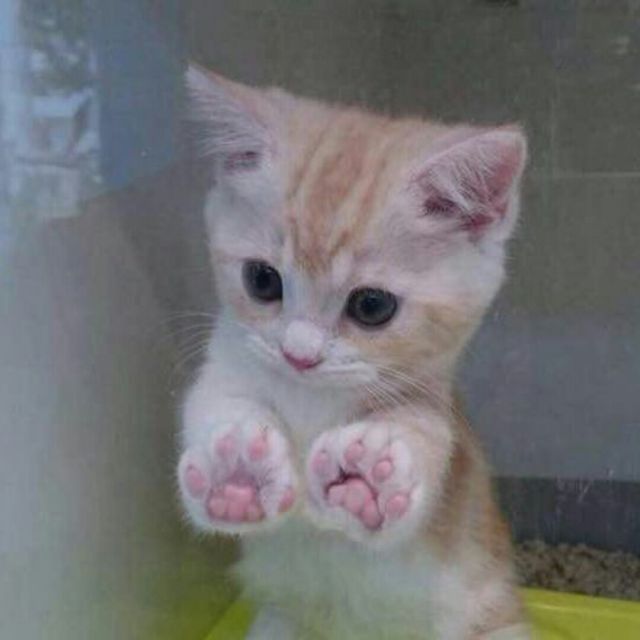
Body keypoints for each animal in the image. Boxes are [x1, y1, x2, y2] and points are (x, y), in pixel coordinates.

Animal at [177, 64, 531, 640]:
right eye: (261, 280)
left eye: (371, 305)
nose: (299, 355)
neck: (311, 400)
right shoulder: (227, 366)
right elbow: (214, 404)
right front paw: (236, 466)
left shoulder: (433, 411)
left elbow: (423, 450)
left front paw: (365, 471)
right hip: (276, 622)